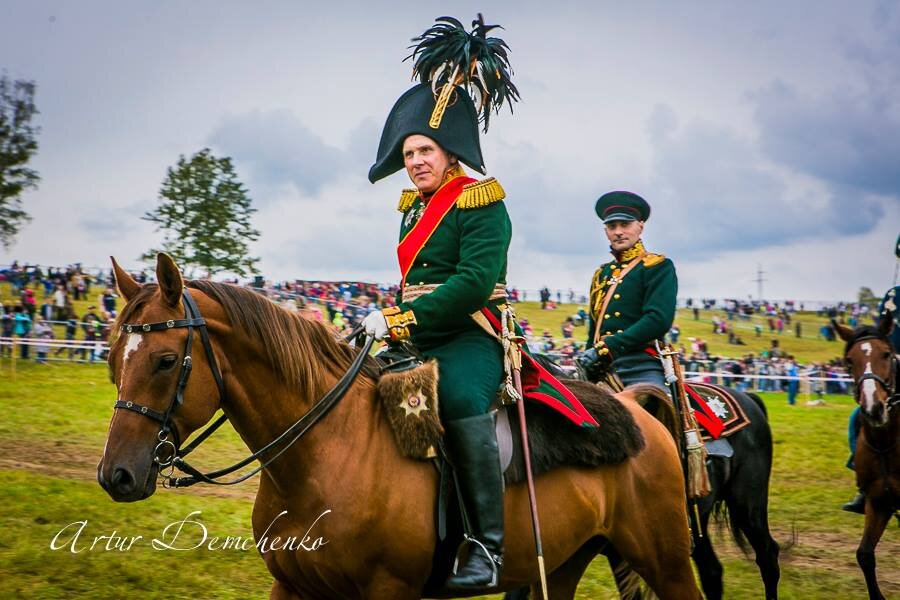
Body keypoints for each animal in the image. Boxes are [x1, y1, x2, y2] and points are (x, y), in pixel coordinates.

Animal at [98, 254, 704, 600]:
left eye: (165, 361)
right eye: (112, 360)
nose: (116, 475)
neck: (326, 452)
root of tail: (634, 409)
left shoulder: (388, 589)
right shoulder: (292, 586)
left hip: (668, 562)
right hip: (558, 566)